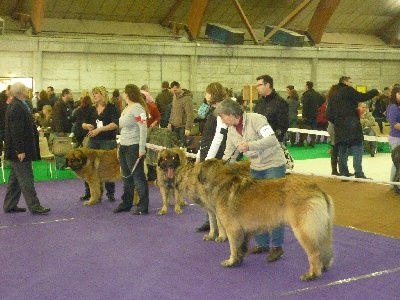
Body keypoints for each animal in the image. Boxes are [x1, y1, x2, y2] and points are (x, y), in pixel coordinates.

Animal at [194, 159, 334, 282]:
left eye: (200, 170)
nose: (197, 177)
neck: (222, 180)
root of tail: (316, 188)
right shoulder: (244, 231)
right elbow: (241, 247)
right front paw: (239, 260)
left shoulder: (232, 228)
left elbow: (233, 248)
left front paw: (231, 261)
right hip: (323, 230)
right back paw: (323, 267)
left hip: (303, 230)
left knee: (314, 253)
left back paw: (311, 274)